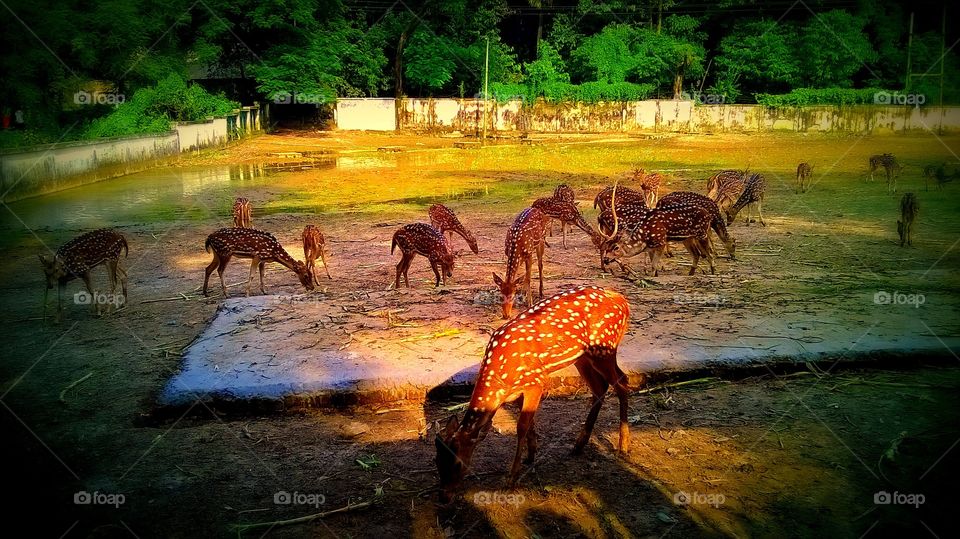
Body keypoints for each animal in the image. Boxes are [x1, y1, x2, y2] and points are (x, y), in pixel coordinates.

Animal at [435, 285, 631, 502]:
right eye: (436, 461)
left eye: (458, 464)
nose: (443, 497)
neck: (502, 379)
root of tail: (622, 300)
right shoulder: (519, 392)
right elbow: (529, 424)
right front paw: (531, 455)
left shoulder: (536, 381)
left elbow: (521, 426)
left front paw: (512, 479)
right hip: (583, 357)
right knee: (602, 387)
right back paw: (579, 444)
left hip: (605, 348)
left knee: (622, 384)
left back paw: (623, 445)